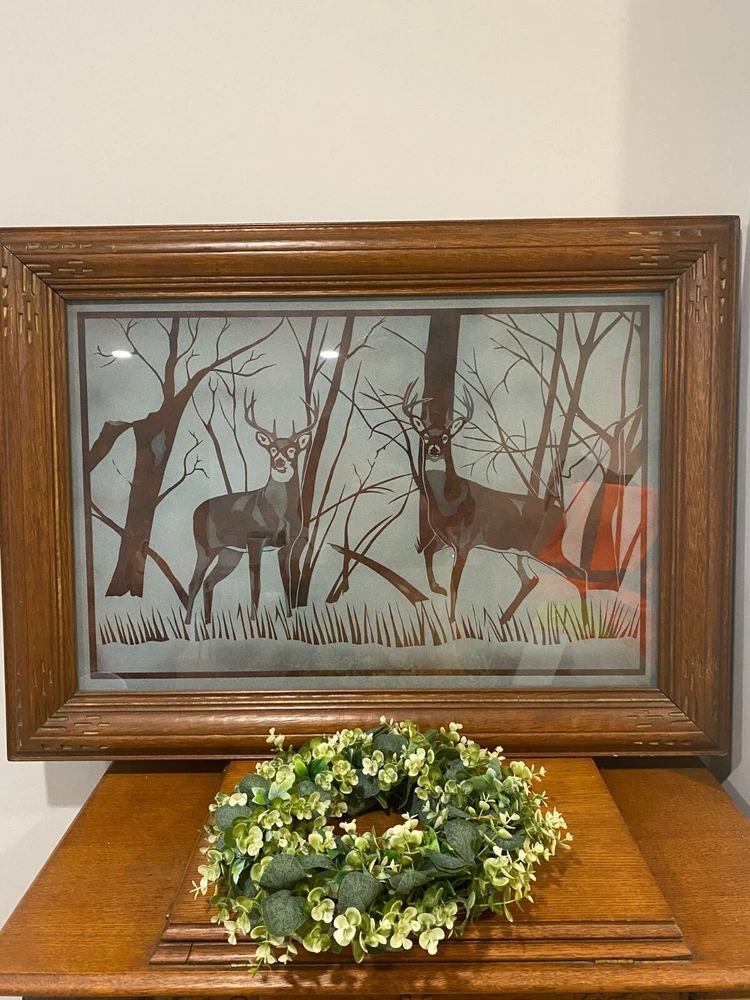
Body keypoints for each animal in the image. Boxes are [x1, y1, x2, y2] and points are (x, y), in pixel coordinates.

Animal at [184, 394, 318, 625]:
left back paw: (208, 623)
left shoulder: (287, 544)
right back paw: (188, 624)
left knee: (209, 581)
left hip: (230, 553)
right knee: (194, 582)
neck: (280, 513)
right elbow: (256, 585)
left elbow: (286, 583)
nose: (280, 462)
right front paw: (254, 622)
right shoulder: (255, 538)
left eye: (292, 449)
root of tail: (195, 511)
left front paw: (289, 618)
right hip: (205, 546)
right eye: (272, 449)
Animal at [401, 381, 588, 624]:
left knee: (578, 574)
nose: (434, 450)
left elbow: (455, 585)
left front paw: (452, 621)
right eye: (424, 436)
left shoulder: (465, 542)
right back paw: (501, 620)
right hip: (515, 550)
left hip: (542, 547)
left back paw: (586, 623)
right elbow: (427, 553)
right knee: (531, 579)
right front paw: (437, 590)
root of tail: (562, 514)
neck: (448, 501)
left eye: (445, 437)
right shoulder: (442, 538)